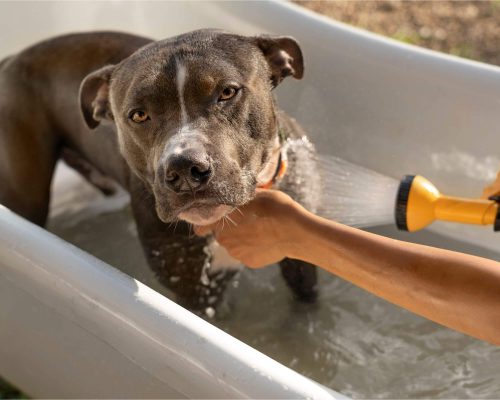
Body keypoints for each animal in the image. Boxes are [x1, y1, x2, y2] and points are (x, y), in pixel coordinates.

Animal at [0, 30, 320, 312]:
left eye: (227, 92)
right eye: (139, 115)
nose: (184, 169)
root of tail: (12, 60)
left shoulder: (302, 261)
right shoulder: (194, 289)